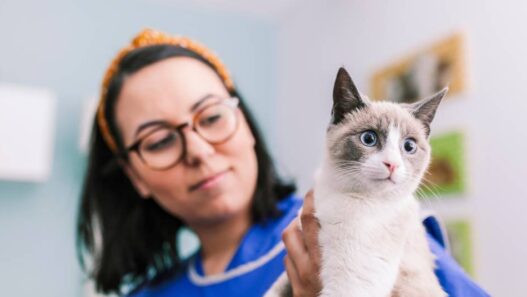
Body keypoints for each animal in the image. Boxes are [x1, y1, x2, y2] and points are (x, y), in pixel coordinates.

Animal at [266, 67, 448, 296]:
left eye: (409, 146)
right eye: (369, 138)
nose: (392, 164)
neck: (341, 194)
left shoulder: (351, 283)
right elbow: (275, 288)